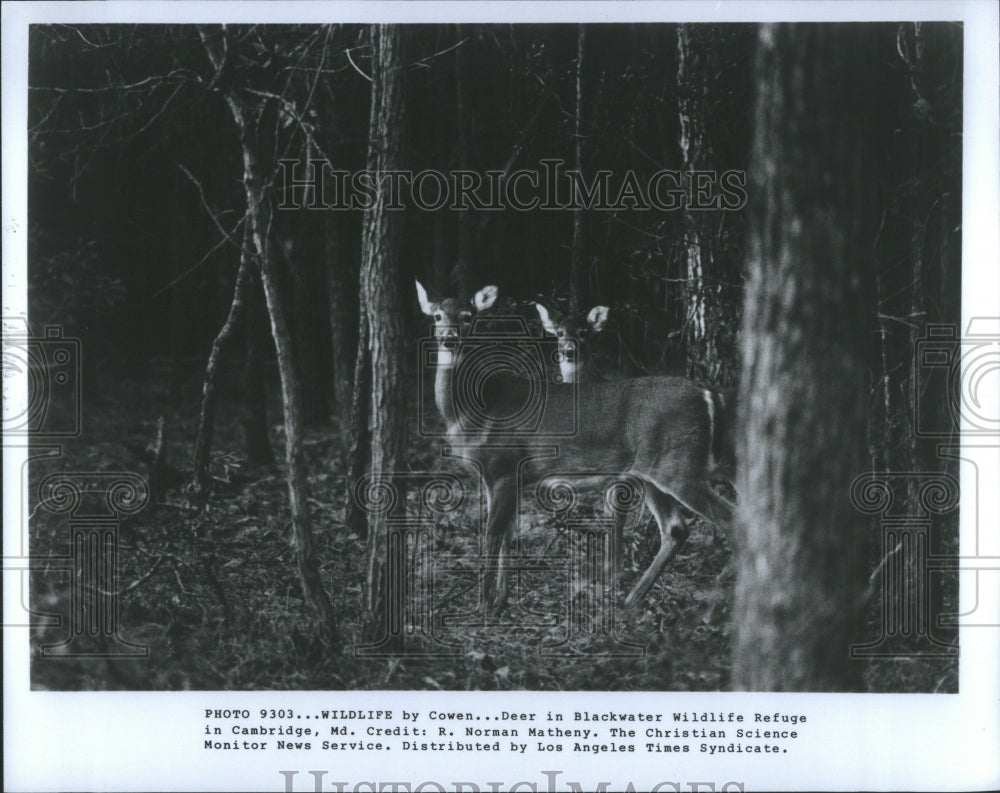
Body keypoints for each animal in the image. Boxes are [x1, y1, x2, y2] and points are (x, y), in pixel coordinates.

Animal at [416, 280, 736, 612]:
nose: (449, 338)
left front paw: (482, 605)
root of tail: (708, 392)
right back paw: (631, 601)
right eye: (437, 315)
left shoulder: (503, 466)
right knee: (676, 528)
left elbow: (492, 533)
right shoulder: (509, 476)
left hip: (679, 466)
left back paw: (714, 596)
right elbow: (509, 533)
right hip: (652, 472)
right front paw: (500, 600)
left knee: (731, 518)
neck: (475, 409)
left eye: (467, 316)